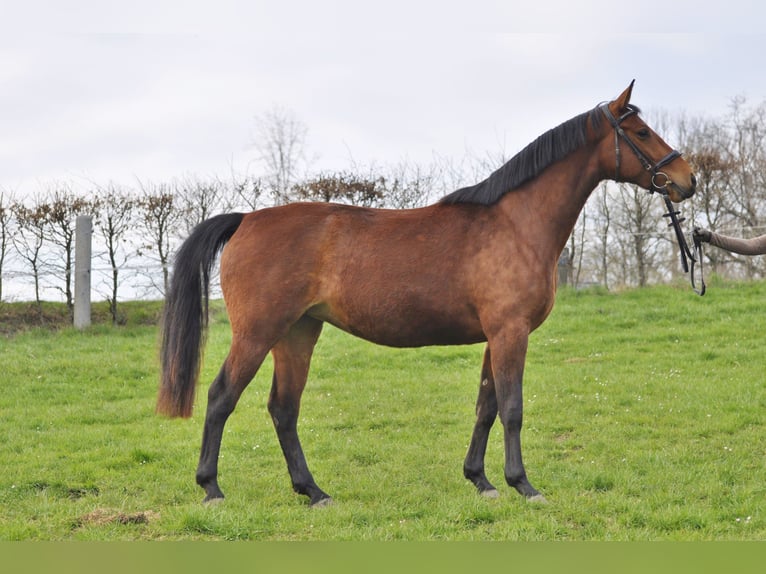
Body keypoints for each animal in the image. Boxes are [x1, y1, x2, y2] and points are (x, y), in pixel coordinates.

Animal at [157, 81, 697, 506]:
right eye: (641, 132)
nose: (687, 180)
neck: (516, 224)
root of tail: (246, 219)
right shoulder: (511, 332)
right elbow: (513, 408)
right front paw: (524, 486)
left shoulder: (495, 336)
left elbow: (486, 406)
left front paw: (482, 481)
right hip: (258, 332)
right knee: (221, 397)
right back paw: (212, 489)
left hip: (298, 334)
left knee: (283, 410)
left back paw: (314, 492)